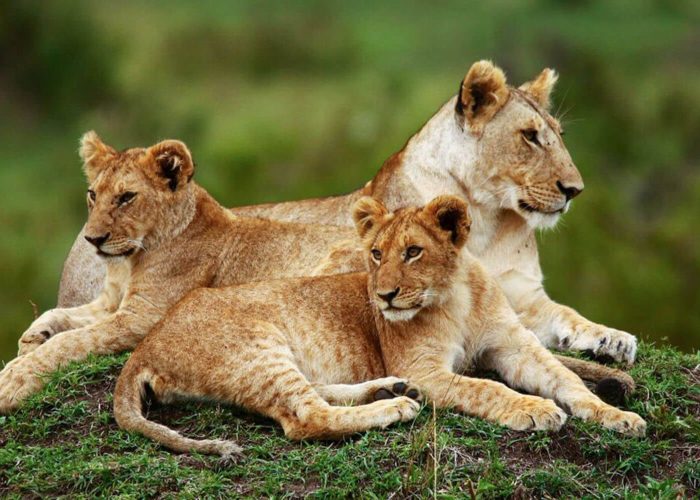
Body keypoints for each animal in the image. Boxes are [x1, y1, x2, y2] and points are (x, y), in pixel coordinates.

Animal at [57, 61, 639, 365]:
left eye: (558, 134)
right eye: (530, 137)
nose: (575, 189)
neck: (493, 218)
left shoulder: (523, 295)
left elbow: (567, 315)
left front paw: (613, 337)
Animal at [113, 195, 645, 458]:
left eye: (412, 252)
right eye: (374, 254)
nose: (384, 296)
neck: (456, 297)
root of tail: (145, 346)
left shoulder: (513, 346)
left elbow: (568, 380)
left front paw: (617, 416)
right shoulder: (428, 368)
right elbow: (487, 389)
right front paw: (533, 409)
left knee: (316, 395)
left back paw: (388, 390)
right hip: (258, 346)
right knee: (305, 419)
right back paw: (396, 407)